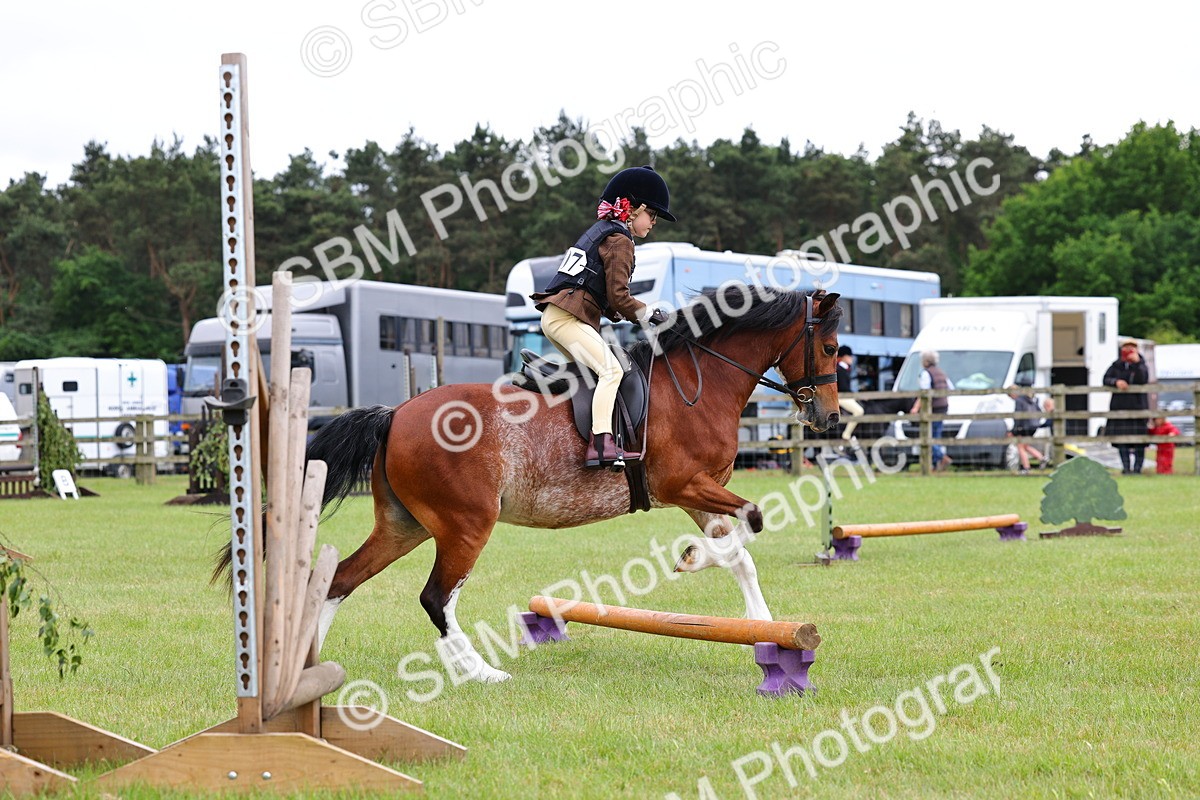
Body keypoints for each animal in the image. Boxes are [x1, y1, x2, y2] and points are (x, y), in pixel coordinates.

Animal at [278, 286, 841, 683]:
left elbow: (741, 554)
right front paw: (690, 559)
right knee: (437, 598)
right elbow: (753, 521)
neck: (699, 382)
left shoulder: (701, 493)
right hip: (465, 525)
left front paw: (763, 630)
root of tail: (395, 415)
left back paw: (311, 670)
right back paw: (483, 672)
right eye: (832, 347)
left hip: (404, 525)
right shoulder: (682, 485)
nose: (829, 418)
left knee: (341, 580)